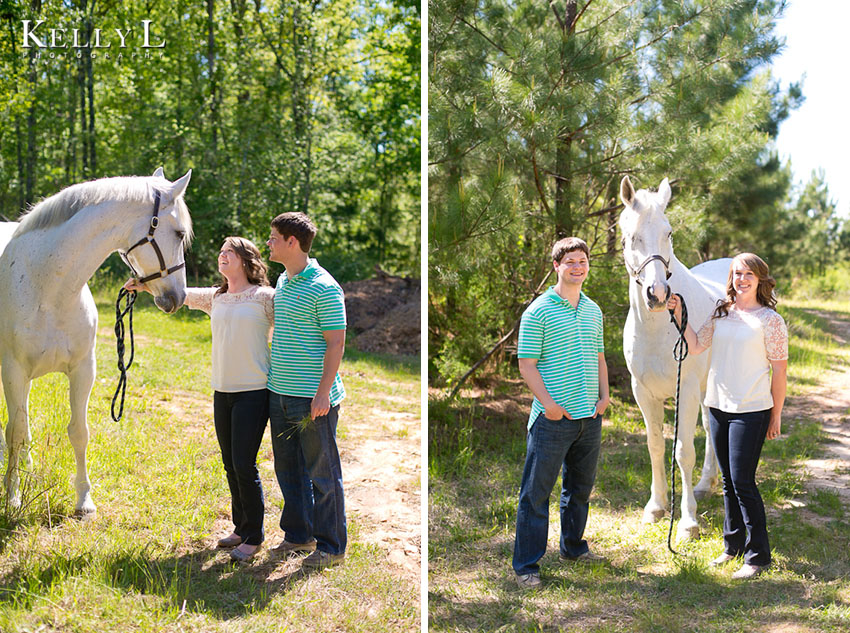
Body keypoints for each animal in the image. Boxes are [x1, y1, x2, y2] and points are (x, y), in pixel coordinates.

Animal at [0, 167, 192, 512]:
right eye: (179, 233)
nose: (178, 297)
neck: (47, 287)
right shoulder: (13, 371)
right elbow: (16, 433)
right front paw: (13, 497)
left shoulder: (82, 369)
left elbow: (78, 432)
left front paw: (84, 500)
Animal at [616, 177, 728, 540]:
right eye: (630, 236)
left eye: (668, 232)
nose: (658, 295)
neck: (659, 330)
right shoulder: (643, 393)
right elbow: (655, 445)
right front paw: (655, 507)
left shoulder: (686, 391)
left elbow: (683, 451)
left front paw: (688, 522)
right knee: (711, 425)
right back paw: (706, 484)